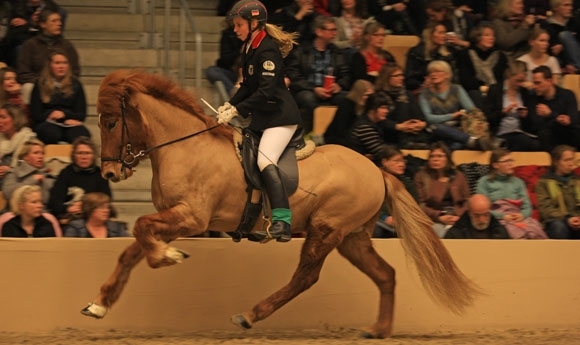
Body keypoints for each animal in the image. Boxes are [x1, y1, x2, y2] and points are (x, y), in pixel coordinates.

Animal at [82, 70, 480, 338]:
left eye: (113, 121)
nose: (111, 173)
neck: (185, 146)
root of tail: (376, 169)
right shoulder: (173, 217)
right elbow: (132, 248)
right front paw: (99, 304)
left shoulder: (191, 218)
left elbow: (141, 229)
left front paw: (167, 257)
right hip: (352, 238)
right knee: (385, 275)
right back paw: (378, 330)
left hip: (326, 231)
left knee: (306, 277)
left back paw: (250, 314)